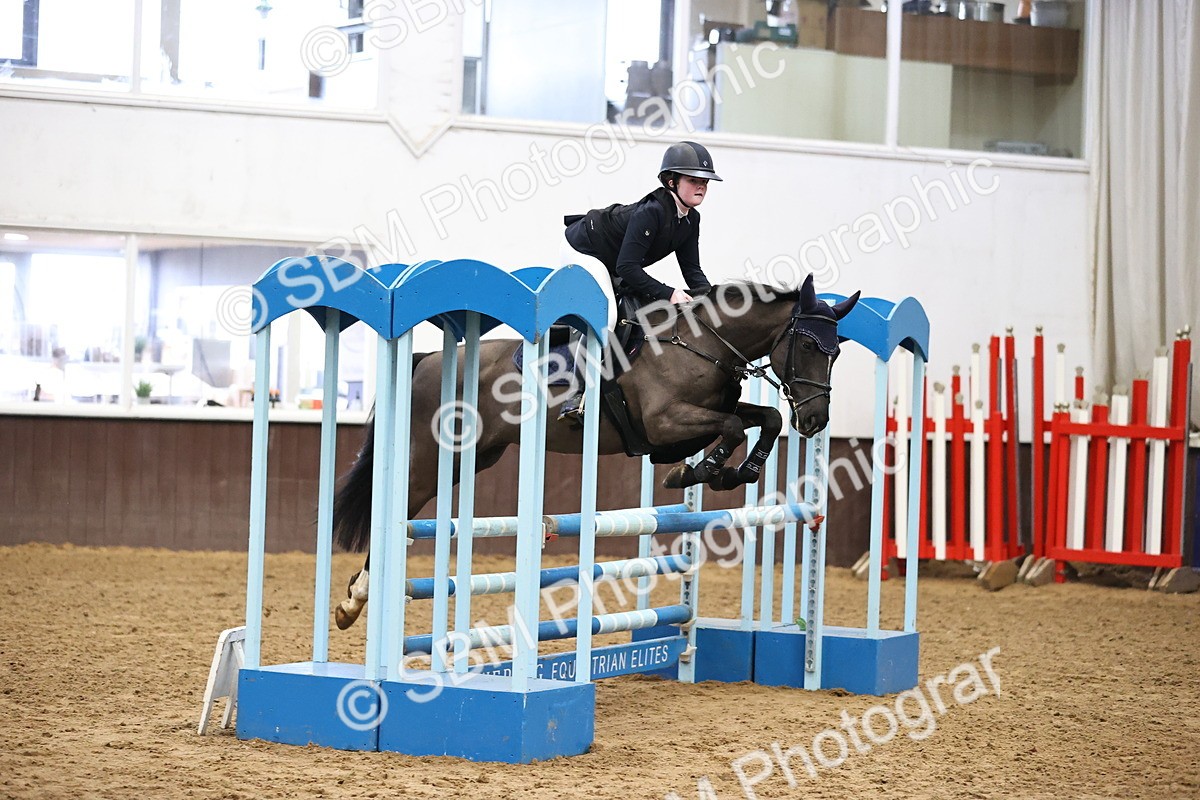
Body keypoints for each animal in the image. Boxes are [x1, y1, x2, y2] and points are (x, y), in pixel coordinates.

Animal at [331, 274, 859, 629]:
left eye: (836, 352)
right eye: (808, 346)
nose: (816, 420)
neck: (700, 344)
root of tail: (427, 360)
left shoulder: (706, 414)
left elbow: (763, 419)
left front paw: (738, 471)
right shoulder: (665, 423)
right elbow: (730, 427)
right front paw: (700, 471)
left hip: (476, 455)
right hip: (429, 457)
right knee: (394, 510)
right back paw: (355, 600)